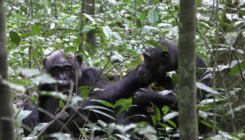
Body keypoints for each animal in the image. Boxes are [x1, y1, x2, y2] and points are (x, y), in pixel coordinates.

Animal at [22, 49, 151, 138]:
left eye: (67, 68)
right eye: (56, 70)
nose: (62, 78)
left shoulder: (92, 74)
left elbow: (103, 100)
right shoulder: (44, 83)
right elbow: (40, 107)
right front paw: (30, 111)